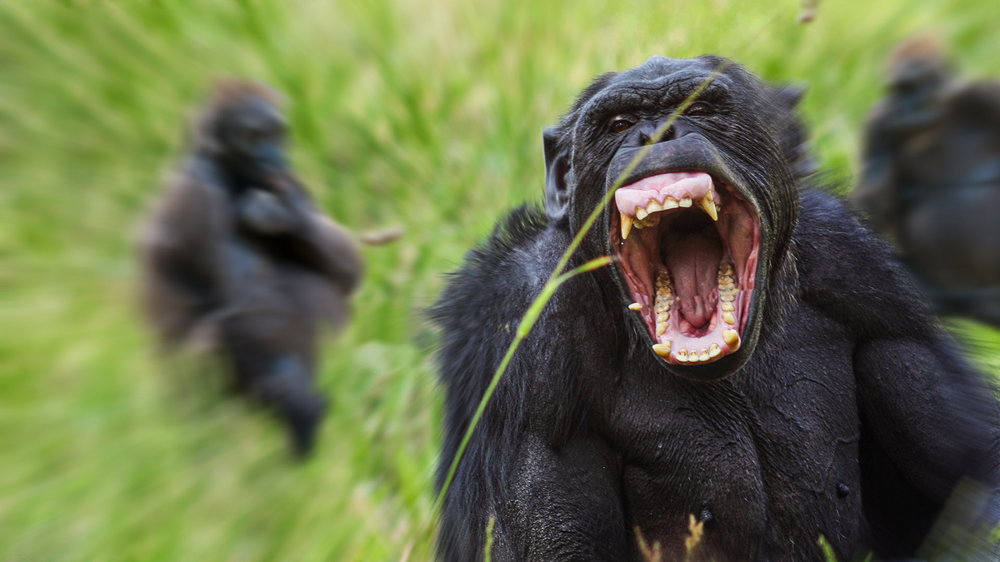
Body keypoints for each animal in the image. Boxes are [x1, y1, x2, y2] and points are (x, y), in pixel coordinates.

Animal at [139, 81, 362, 458]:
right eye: (253, 135)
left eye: (278, 134)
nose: (272, 158)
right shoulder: (202, 194)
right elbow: (252, 309)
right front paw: (302, 416)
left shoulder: (288, 180)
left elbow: (350, 270)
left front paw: (286, 215)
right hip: (188, 404)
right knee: (219, 336)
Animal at [434, 58, 996, 560]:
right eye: (617, 124)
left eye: (703, 108)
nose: (657, 133)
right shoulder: (528, 334)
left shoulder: (866, 272)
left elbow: (979, 478)